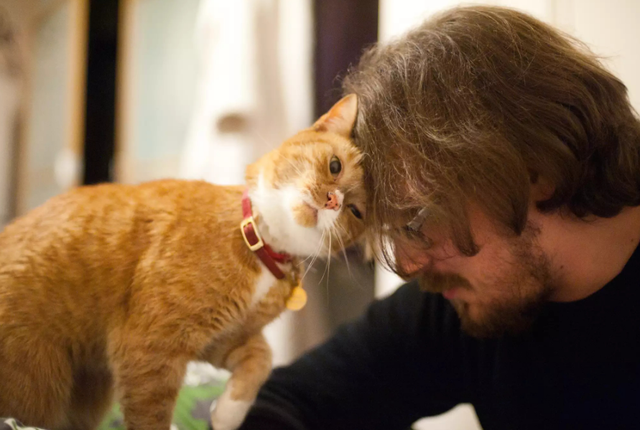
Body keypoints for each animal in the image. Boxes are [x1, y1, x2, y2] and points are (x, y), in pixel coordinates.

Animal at [0, 94, 365, 430]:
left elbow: (263, 358)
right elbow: (152, 417)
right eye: (334, 166)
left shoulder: (222, 339)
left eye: (356, 211)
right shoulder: (151, 348)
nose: (333, 201)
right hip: (38, 387)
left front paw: (228, 413)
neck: (261, 243)